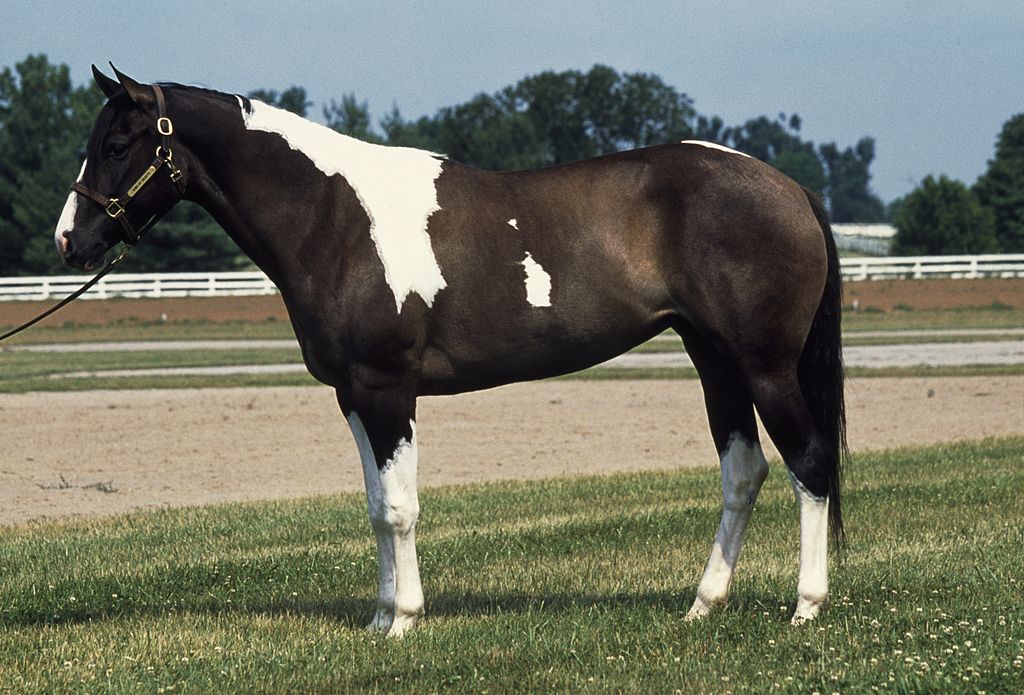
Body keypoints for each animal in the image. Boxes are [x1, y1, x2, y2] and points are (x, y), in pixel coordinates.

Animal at [54, 66, 846, 637]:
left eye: (117, 145)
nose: (70, 240)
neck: (334, 215)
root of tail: (792, 189)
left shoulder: (386, 389)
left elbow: (401, 507)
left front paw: (404, 620)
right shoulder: (353, 396)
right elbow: (377, 505)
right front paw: (379, 617)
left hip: (764, 367)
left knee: (809, 462)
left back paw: (805, 606)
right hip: (714, 361)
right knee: (744, 472)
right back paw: (703, 604)